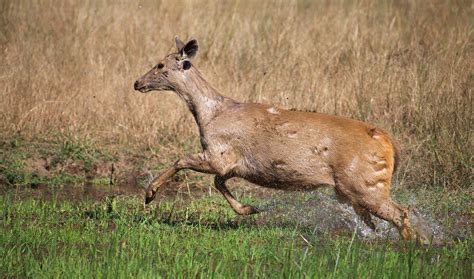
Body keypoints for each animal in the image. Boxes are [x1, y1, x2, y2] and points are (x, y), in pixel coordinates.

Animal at [133, 36, 430, 243]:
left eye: (160, 65)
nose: (137, 82)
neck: (208, 115)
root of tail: (389, 142)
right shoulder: (232, 164)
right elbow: (219, 183)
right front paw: (249, 208)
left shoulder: (219, 154)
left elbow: (182, 160)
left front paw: (149, 194)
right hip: (353, 189)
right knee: (386, 215)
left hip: (364, 182)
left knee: (401, 212)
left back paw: (411, 245)